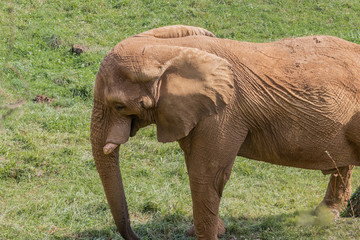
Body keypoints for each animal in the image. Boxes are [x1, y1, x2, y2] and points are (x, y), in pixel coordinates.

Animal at [90, 25, 360, 239]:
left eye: (119, 106)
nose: (138, 236)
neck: (172, 51)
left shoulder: (223, 112)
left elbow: (207, 174)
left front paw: (207, 235)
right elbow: (197, 168)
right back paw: (325, 215)